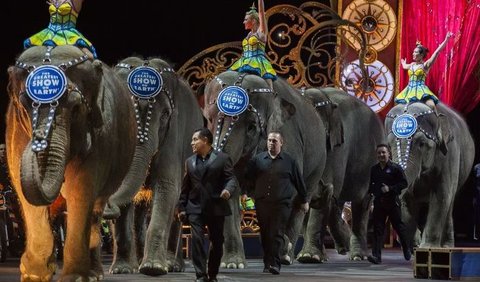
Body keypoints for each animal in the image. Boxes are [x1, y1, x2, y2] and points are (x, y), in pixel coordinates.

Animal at [5, 45, 137, 280]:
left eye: (75, 108)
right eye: (24, 105)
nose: (38, 136)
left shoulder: (101, 133)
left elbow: (81, 190)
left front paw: (75, 277)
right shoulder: (14, 129)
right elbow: (24, 193)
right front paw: (34, 275)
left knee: (95, 211)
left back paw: (94, 273)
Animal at [102, 56, 203, 276]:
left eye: (165, 114)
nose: (108, 206)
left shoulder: (174, 133)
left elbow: (167, 186)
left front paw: (153, 269)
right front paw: (122, 270)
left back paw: (172, 266)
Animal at [201, 70, 328, 266]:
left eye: (252, 126)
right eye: (209, 119)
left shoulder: (288, 141)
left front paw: (280, 248)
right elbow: (230, 191)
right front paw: (232, 263)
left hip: (318, 162)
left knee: (301, 200)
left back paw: (286, 256)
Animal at [298, 87, 384, 262]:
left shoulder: (337, 147)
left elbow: (324, 194)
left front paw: (309, 257)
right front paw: (315, 256)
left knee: (362, 203)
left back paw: (358, 255)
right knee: (338, 202)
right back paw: (344, 246)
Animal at [384, 102, 474, 248]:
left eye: (421, 144)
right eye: (389, 145)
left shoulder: (449, 156)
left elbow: (441, 196)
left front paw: (428, 248)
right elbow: (407, 199)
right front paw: (410, 247)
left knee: (449, 203)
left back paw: (446, 246)